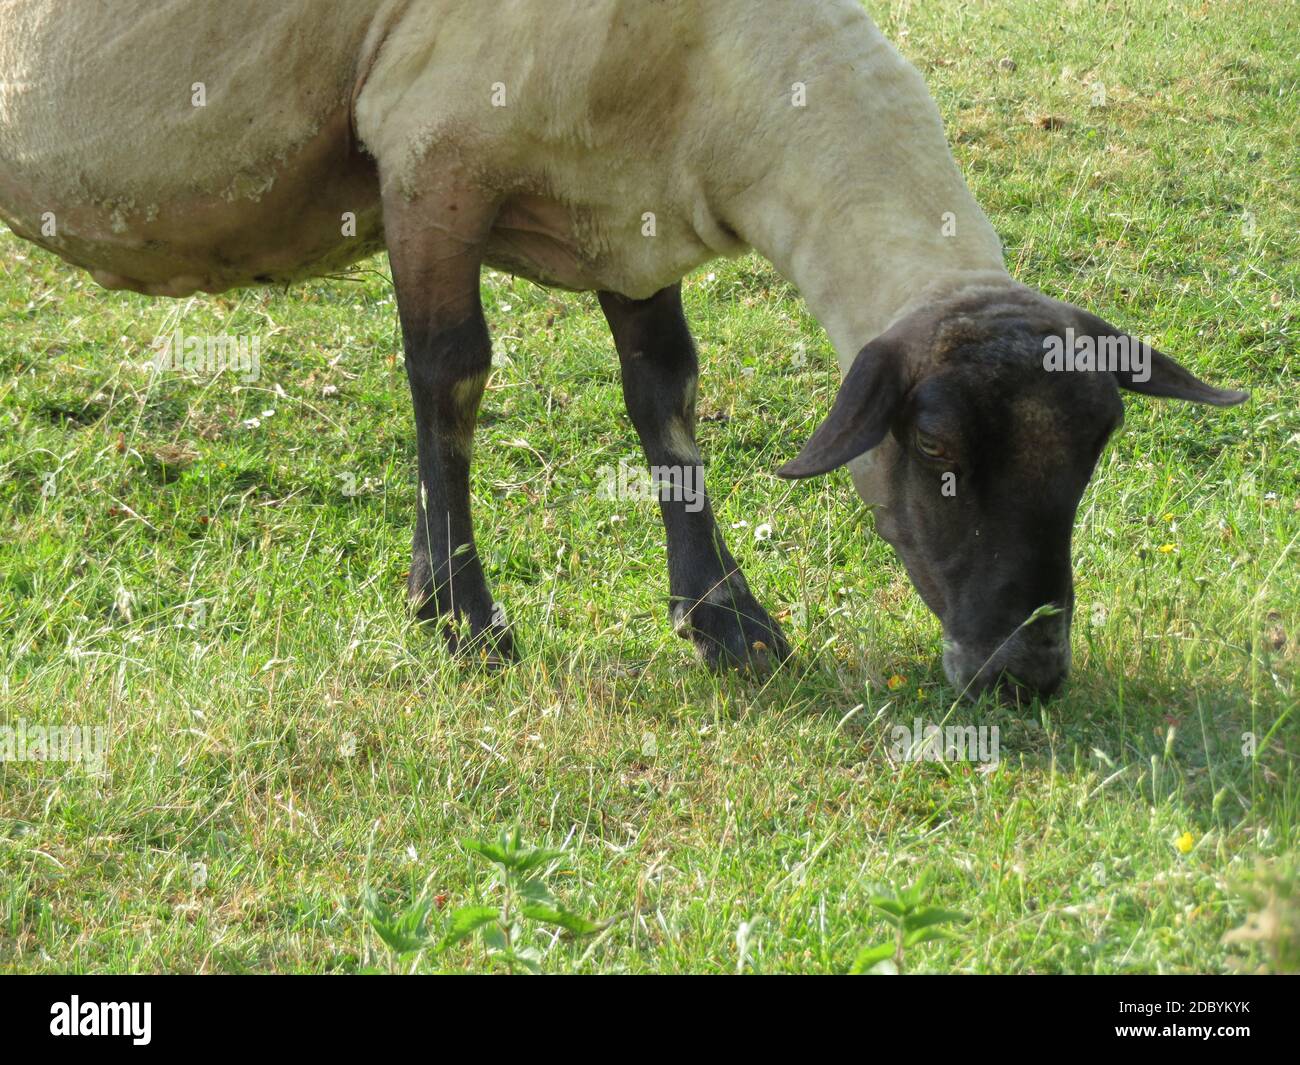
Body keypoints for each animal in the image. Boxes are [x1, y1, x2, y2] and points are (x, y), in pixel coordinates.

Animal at [0, 0, 1242, 702]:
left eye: (1095, 450)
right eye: (933, 448)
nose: (1026, 677)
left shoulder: (630, 207)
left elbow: (665, 396)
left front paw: (729, 621)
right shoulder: (431, 153)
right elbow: (450, 378)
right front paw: (461, 619)